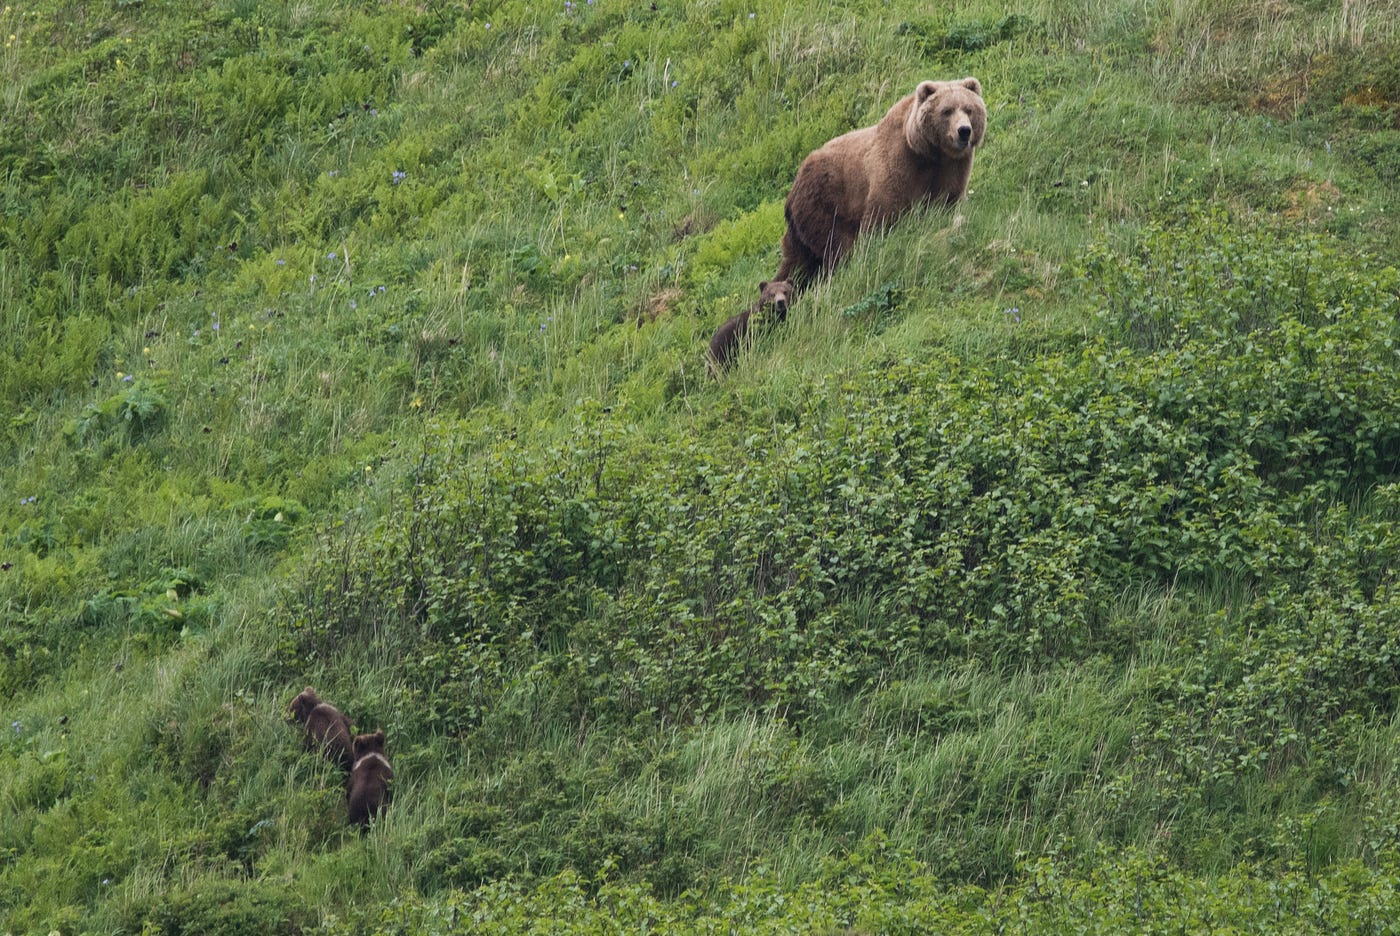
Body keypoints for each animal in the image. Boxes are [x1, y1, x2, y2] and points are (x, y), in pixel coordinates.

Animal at [772, 77, 991, 285]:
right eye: (947, 111)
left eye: (969, 109)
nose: (964, 130)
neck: (928, 153)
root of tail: (792, 191)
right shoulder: (899, 164)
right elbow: (883, 212)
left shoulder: (952, 168)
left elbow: (948, 200)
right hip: (825, 203)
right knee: (836, 246)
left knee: (796, 263)